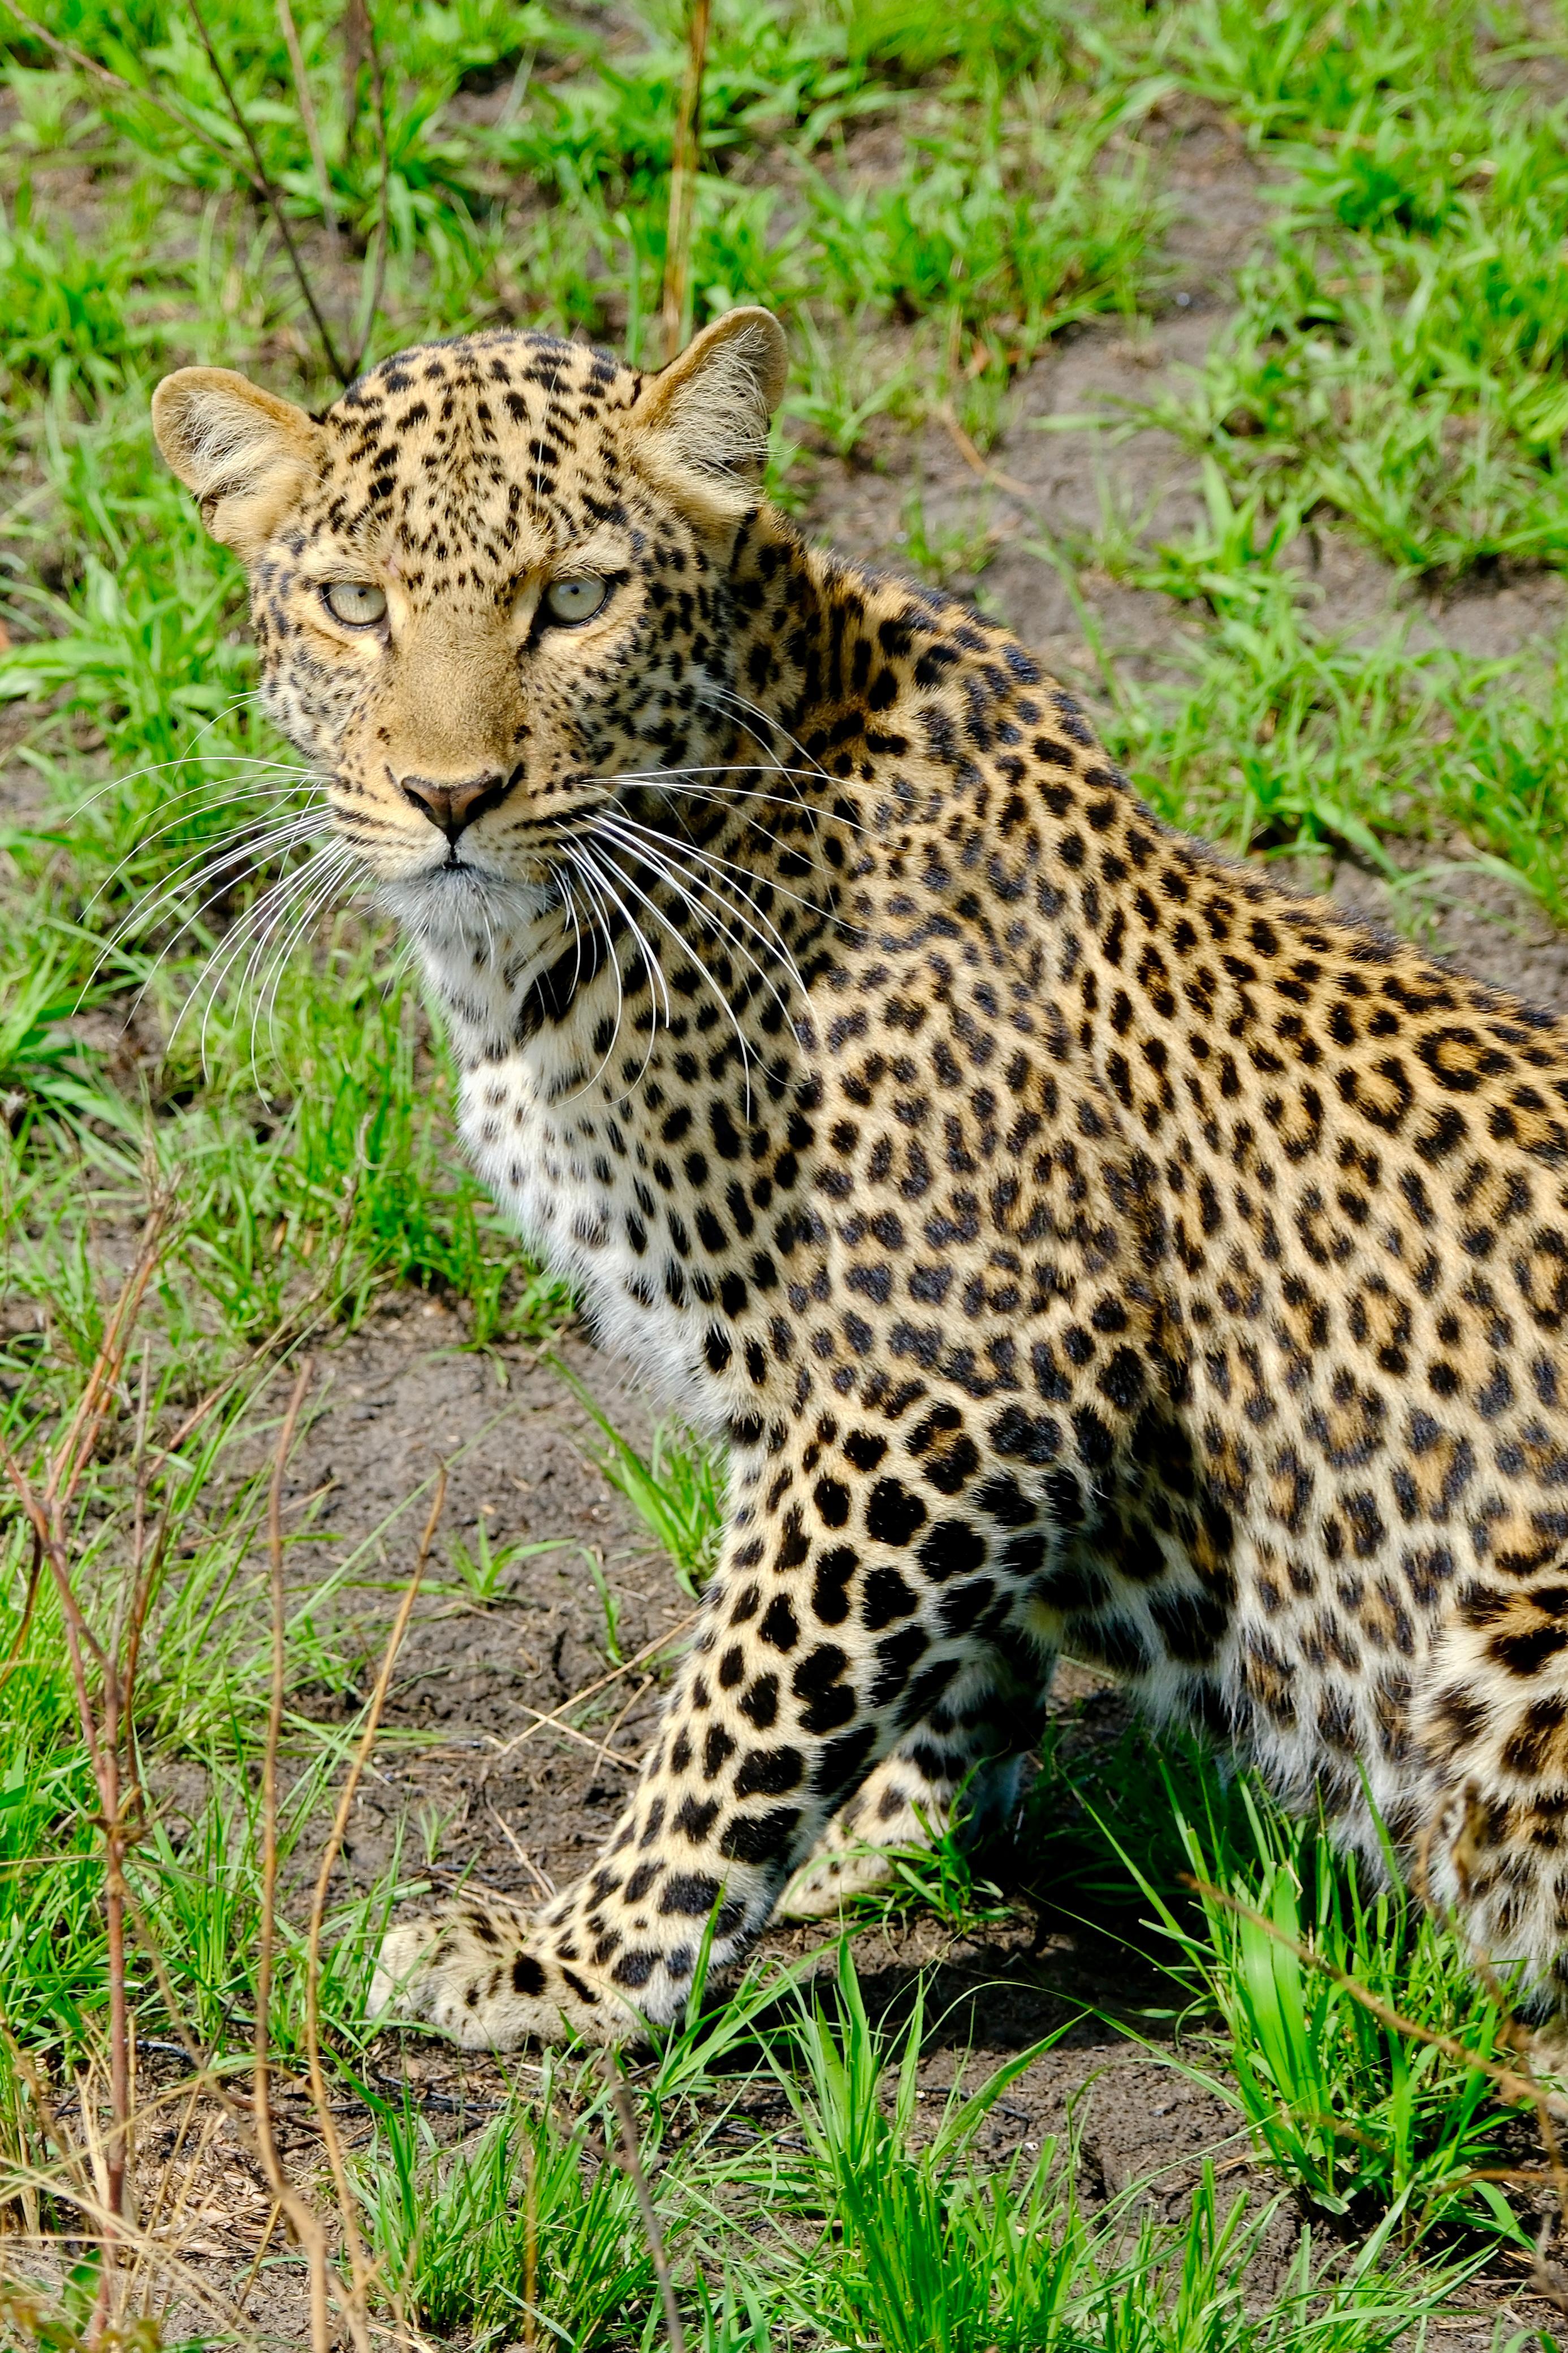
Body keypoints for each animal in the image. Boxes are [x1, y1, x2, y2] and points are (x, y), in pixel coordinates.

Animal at [152, 305, 1568, 2051]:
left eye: (575, 599)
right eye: (355, 605)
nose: (449, 797)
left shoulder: (960, 1363)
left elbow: (744, 1693)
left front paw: (580, 1962)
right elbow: (931, 1666)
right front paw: (886, 1839)